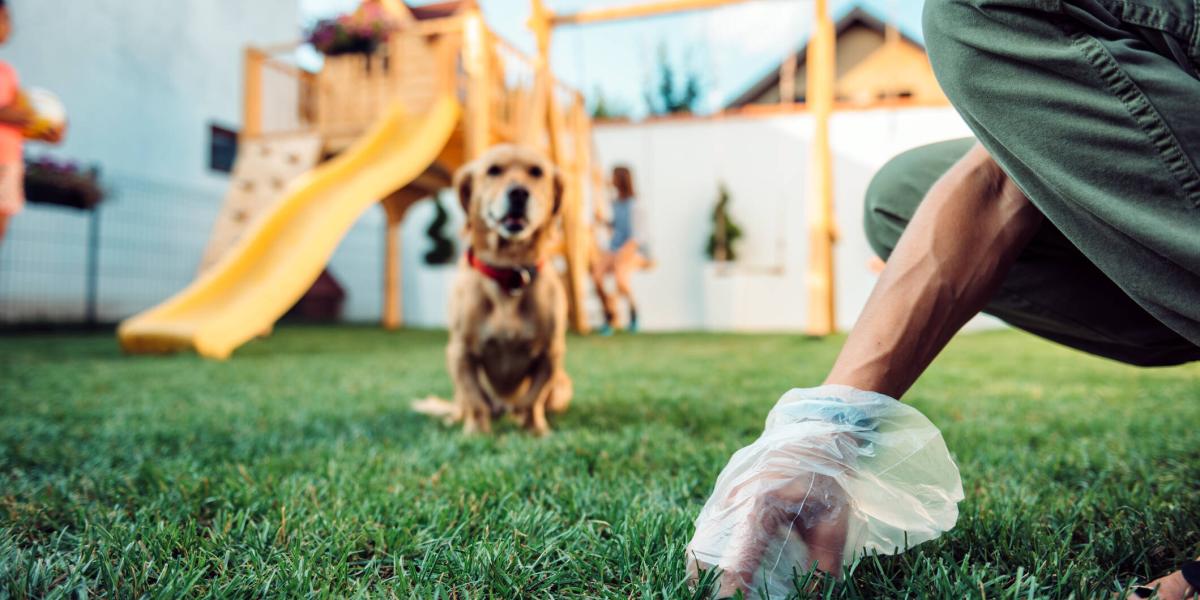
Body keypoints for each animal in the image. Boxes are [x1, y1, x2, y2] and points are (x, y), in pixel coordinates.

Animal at [415, 145, 573, 436]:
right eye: (493, 170)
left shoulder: (551, 353)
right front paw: (477, 433)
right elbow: (476, 400)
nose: (519, 193)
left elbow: (532, 399)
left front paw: (535, 430)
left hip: (563, 387)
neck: (508, 272)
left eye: (537, 172)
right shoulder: (460, 353)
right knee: (464, 404)